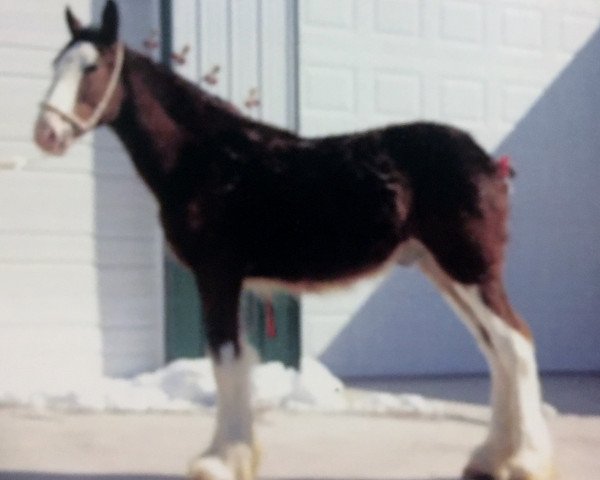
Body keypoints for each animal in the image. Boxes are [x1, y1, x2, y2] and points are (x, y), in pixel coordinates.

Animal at [34, 1, 552, 478]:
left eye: (92, 67)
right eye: (56, 64)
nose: (46, 134)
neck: (207, 158)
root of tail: (490, 163)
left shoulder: (217, 275)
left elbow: (225, 360)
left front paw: (220, 461)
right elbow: (237, 361)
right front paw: (235, 456)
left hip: (469, 269)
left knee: (514, 343)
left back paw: (525, 459)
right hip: (443, 271)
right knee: (495, 350)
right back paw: (490, 457)